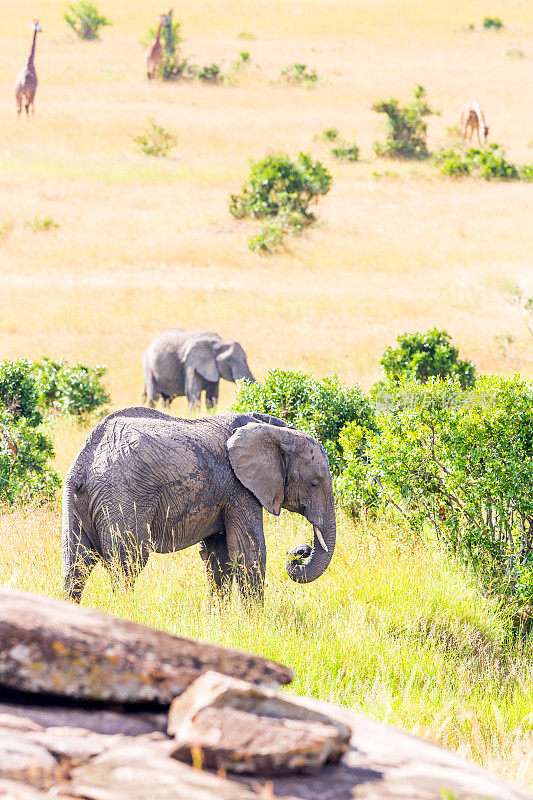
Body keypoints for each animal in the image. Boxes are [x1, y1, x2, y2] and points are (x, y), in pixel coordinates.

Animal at [62, 410, 334, 604]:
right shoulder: (239, 487)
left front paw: (219, 620)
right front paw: (256, 624)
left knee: (75, 564)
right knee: (127, 563)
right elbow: (249, 550)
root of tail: (83, 464)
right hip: (122, 498)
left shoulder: (222, 492)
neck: (276, 430)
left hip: (77, 501)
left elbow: (218, 555)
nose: (302, 550)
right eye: (314, 483)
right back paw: (126, 610)